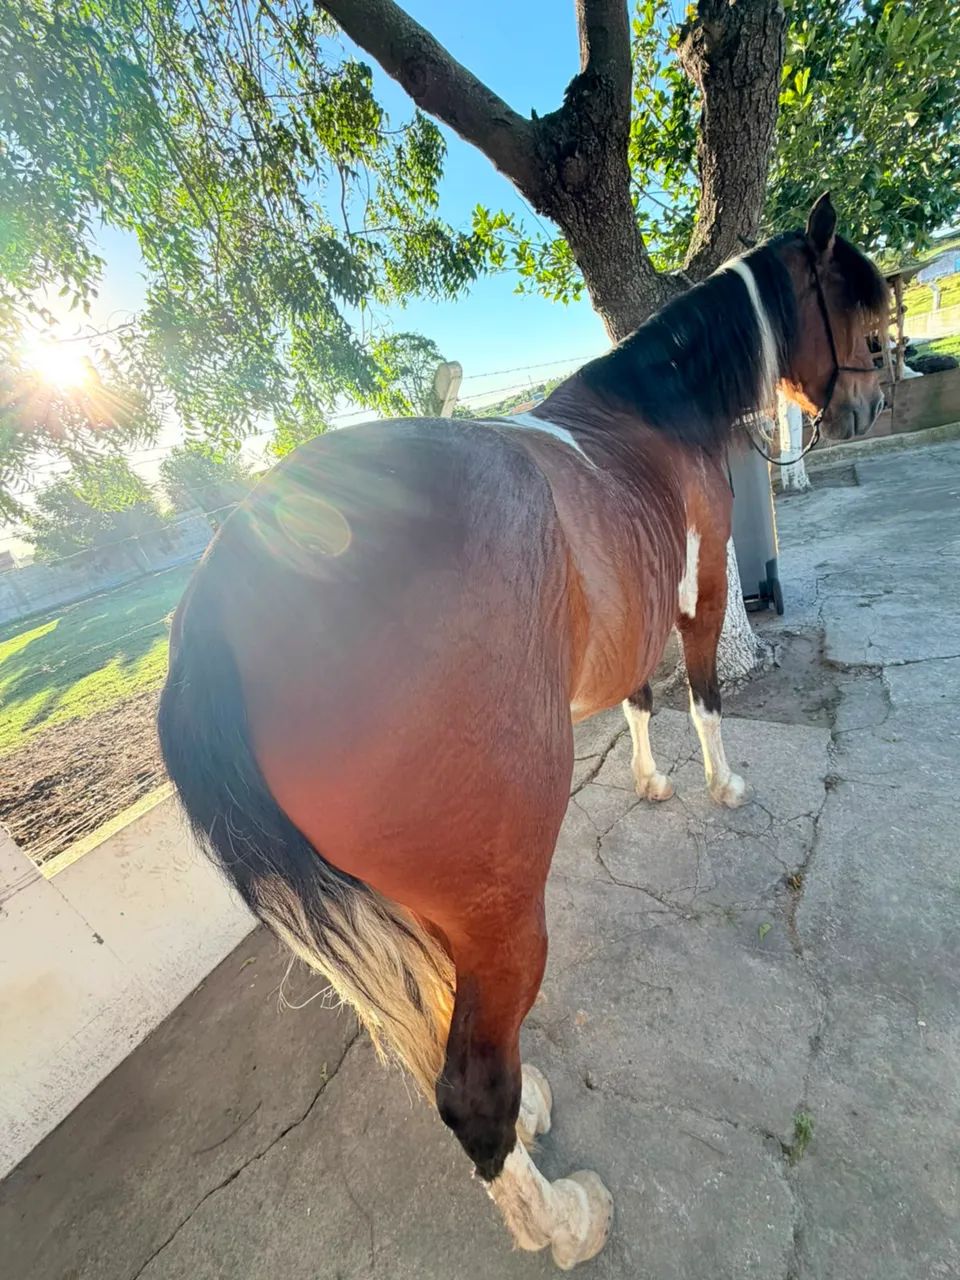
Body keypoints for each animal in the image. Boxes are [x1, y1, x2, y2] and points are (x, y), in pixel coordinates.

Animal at [158, 194, 888, 1268]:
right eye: (867, 313)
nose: (870, 404)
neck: (652, 408)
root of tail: (222, 592)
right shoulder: (701, 589)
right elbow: (704, 695)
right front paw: (722, 785)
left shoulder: (630, 620)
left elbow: (639, 702)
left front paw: (653, 782)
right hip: (503, 905)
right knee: (470, 1090)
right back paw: (565, 1220)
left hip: (432, 905)